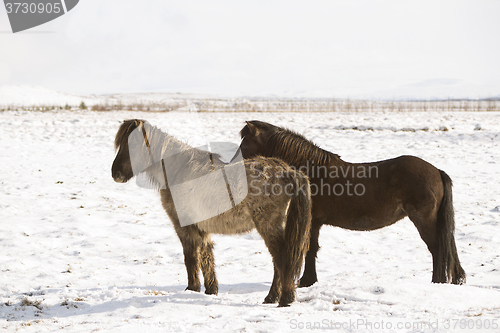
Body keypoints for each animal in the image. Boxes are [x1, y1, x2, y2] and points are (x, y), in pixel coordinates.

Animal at [111, 119, 310, 306]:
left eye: (132, 145)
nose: (115, 173)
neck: (178, 171)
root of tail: (287, 170)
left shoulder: (184, 226)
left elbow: (191, 257)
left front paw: (192, 289)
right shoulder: (202, 227)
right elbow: (206, 256)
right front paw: (211, 290)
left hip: (269, 227)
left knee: (282, 259)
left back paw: (283, 298)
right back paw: (273, 297)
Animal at [240, 120, 466, 286]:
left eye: (244, 144)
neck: (313, 170)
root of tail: (436, 171)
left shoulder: (313, 222)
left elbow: (310, 250)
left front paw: (306, 281)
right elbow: (312, 250)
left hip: (424, 219)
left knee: (438, 248)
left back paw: (437, 281)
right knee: (449, 245)